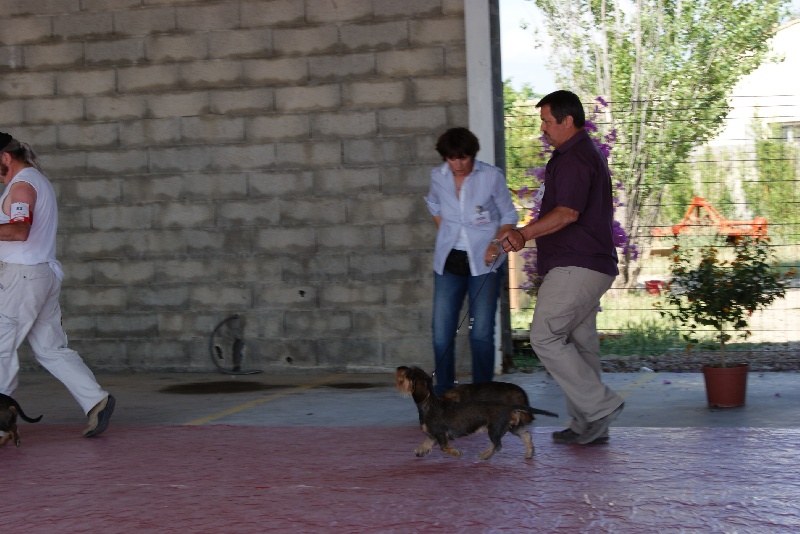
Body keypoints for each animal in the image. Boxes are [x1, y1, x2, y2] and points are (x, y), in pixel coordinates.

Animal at [395, 366, 557, 460]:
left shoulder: (440, 435)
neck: (431, 404)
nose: (398, 368)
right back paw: (529, 453)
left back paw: (485, 455)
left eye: (407, 374)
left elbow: (445, 448)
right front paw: (420, 451)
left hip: (494, 430)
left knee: (497, 445)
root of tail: (509, 406)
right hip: (513, 427)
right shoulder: (433, 436)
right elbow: (426, 443)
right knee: (526, 436)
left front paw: (456, 453)